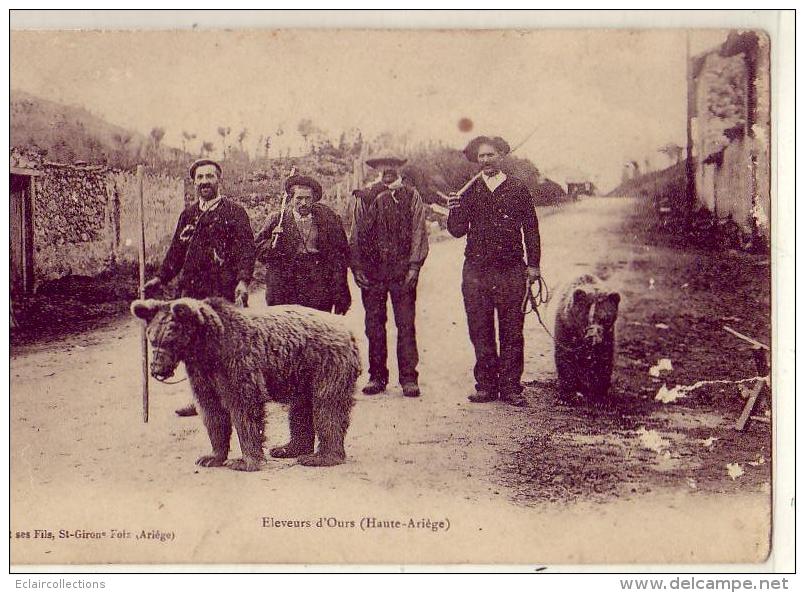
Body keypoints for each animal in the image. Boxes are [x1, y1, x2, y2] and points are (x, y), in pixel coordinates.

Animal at [131, 298, 358, 470]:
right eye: (152, 339)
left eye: (170, 339)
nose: (156, 370)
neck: (207, 349)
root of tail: (348, 329)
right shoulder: (202, 374)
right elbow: (212, 412)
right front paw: (211, 457)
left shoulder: (238, 361)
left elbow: (245, 408)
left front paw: (244, 461)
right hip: (301, 374)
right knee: (301, 408)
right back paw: (288, 448)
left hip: (327, 363)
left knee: (328, 406)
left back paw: (321, 457)